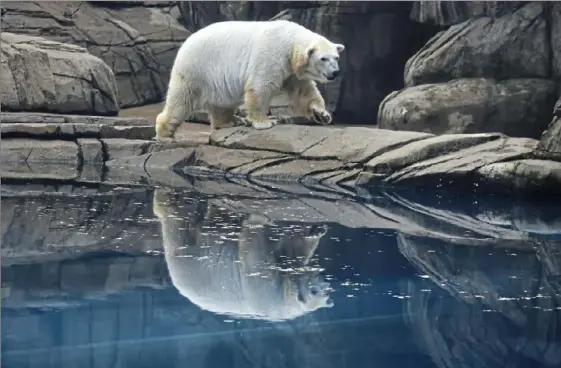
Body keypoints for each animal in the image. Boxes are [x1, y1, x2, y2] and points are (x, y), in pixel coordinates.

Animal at [152, 188, 332, 320]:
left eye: (325, 296)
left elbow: (294, 249)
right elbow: (254, 247)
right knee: (180, 218)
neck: (286, 298)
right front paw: (259, 218)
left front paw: (316, 230)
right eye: (314, 292)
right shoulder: (268, 290)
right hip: (186, 254)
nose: (325, 284)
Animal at [155, 20, 344, 141]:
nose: (335, 72)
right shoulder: (272, 53)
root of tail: (185, 43)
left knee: (222, 103)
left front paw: (322, 114)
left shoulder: (291, 70)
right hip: (197, 69)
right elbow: (260, 87)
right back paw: (165, 133)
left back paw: (231, 121)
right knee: (182, 100)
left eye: (336, 57)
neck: (290, 41)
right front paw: (265, 122)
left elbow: (303, 91)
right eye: (323, 59)